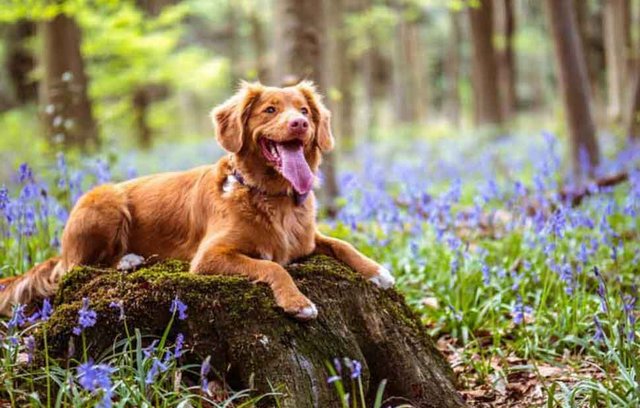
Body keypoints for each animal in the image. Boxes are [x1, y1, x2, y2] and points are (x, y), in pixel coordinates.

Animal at [0, 81, 396, 320]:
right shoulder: (210, 257)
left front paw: (377, 270)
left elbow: (342, 244)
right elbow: (274, 267)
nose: (299, 124)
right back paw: (127, 259)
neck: (271, 197)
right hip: (105, 202)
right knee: (76, 267)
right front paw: (297, 302)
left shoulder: (307, 239)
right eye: (270, 110)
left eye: (304, 110)